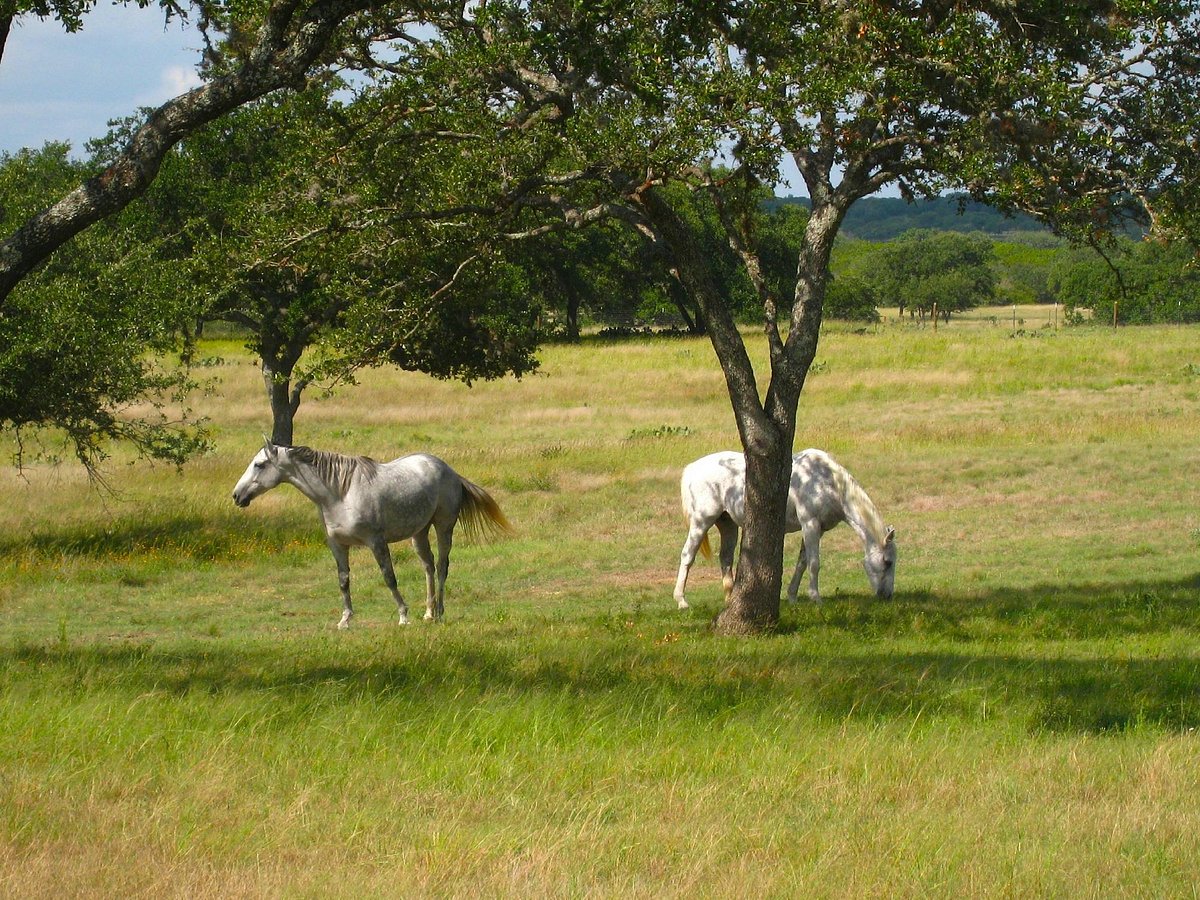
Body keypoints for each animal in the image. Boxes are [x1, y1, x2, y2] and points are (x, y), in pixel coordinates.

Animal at [231, 441, 508, 628]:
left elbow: (389, 578)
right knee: (428, 566)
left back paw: (439, 611)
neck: (340, 493)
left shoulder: (376, 542)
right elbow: (343, 581)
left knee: (442, 566)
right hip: (419, 532)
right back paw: (429, 613)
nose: (236, 496)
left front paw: (403, 616)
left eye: (259, 464)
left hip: (444, 526)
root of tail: (449, 470)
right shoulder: (337, 545)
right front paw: (345, 620)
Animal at [676, 451, 892, 614]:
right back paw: (681, 600)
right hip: (701, 522)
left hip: (728, 525)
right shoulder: (810, 525)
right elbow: (814, 563)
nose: (887, 596)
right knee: (687, 556)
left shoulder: (817, 530)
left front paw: (792, 596)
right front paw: (816, 598)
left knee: (726, 559)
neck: (826, 481)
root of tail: (692, 468)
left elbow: (802, 563)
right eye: (887, 562)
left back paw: (730, 599)